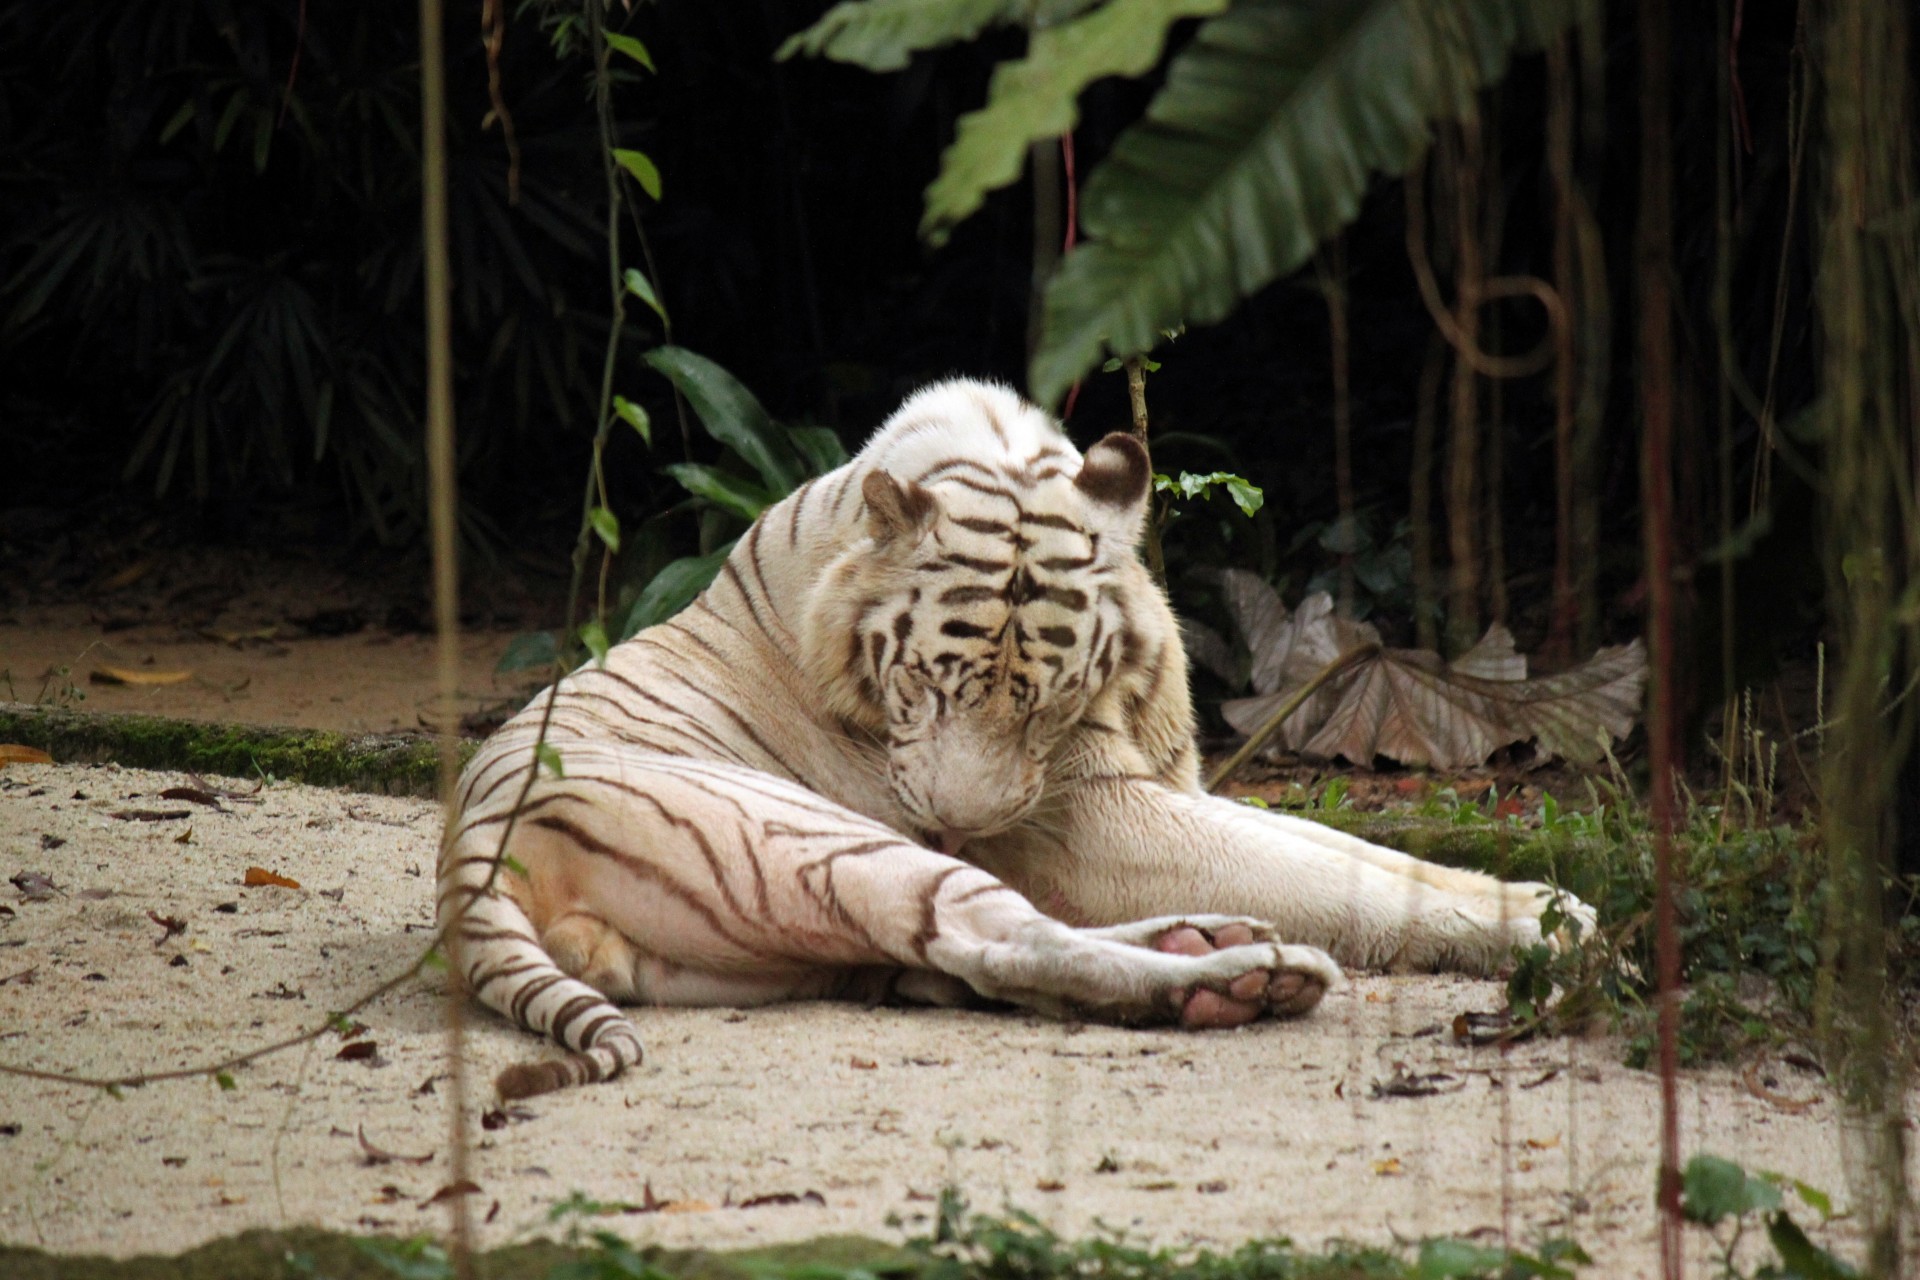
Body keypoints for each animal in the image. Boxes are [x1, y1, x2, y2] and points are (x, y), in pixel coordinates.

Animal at [445, 376, 1589, 1097]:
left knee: (977, 961)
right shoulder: (1088, 821)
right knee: (992, 936)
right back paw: (1246, 974)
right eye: (922, 683)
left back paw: (1218, 956)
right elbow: (1342, 875)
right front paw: (1554, 918)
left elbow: (1348, 850)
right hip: (822, 838)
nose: (963, 821)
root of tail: (465, 857)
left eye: (1043, 701)